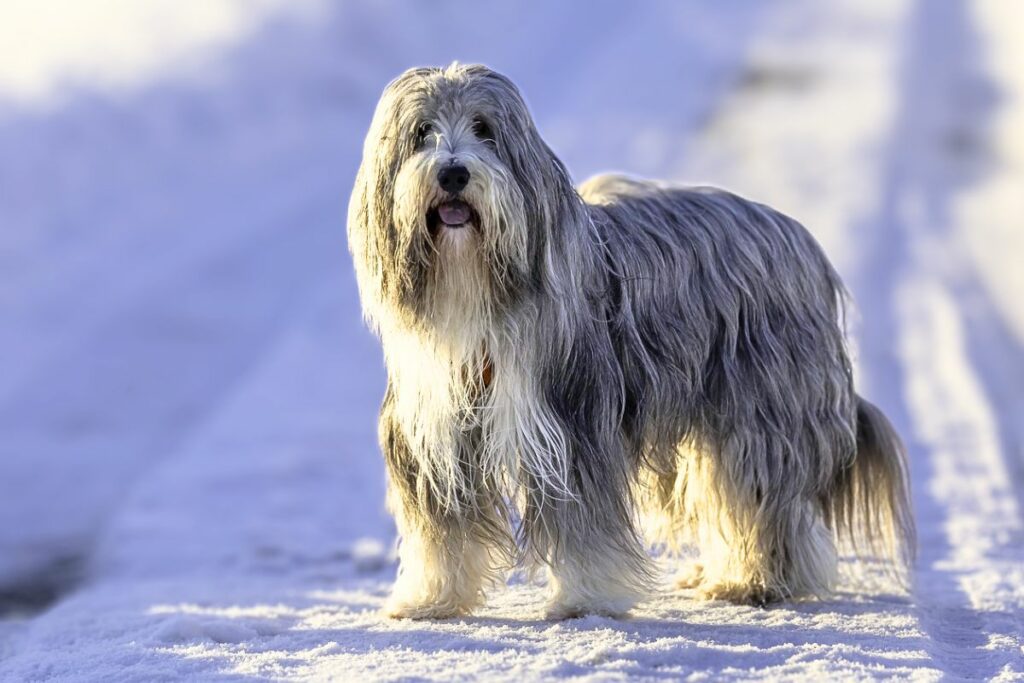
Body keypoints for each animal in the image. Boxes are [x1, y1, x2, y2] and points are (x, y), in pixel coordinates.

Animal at [348, 62, 917, 618]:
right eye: (421, 133)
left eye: (485, 129)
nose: (453, 172)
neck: (475, 293)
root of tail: (798, 238)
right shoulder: (435, 433)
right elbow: (441, 532)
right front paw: (431, 598)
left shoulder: (572, 426)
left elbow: (585, 525)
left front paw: (586, 599)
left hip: (760, 409)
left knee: (761, 498)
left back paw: (754, 580)